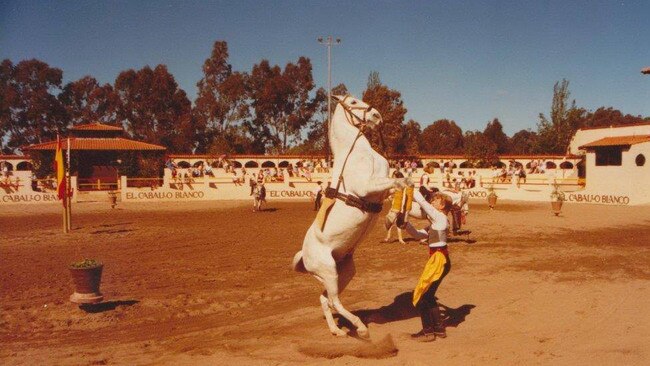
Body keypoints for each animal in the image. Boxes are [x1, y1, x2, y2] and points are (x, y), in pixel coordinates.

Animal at [290, 93, 404, 338]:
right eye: (352, 102)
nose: (376, 116)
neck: (357, 153)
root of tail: (304, 256)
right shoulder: (366, 187)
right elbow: (393, 182)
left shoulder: (379, 192)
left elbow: (393, 188)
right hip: (329, 272)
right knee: (334, 300)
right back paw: (360, 328)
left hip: (343, 273)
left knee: (325, 299)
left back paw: (337, 331)